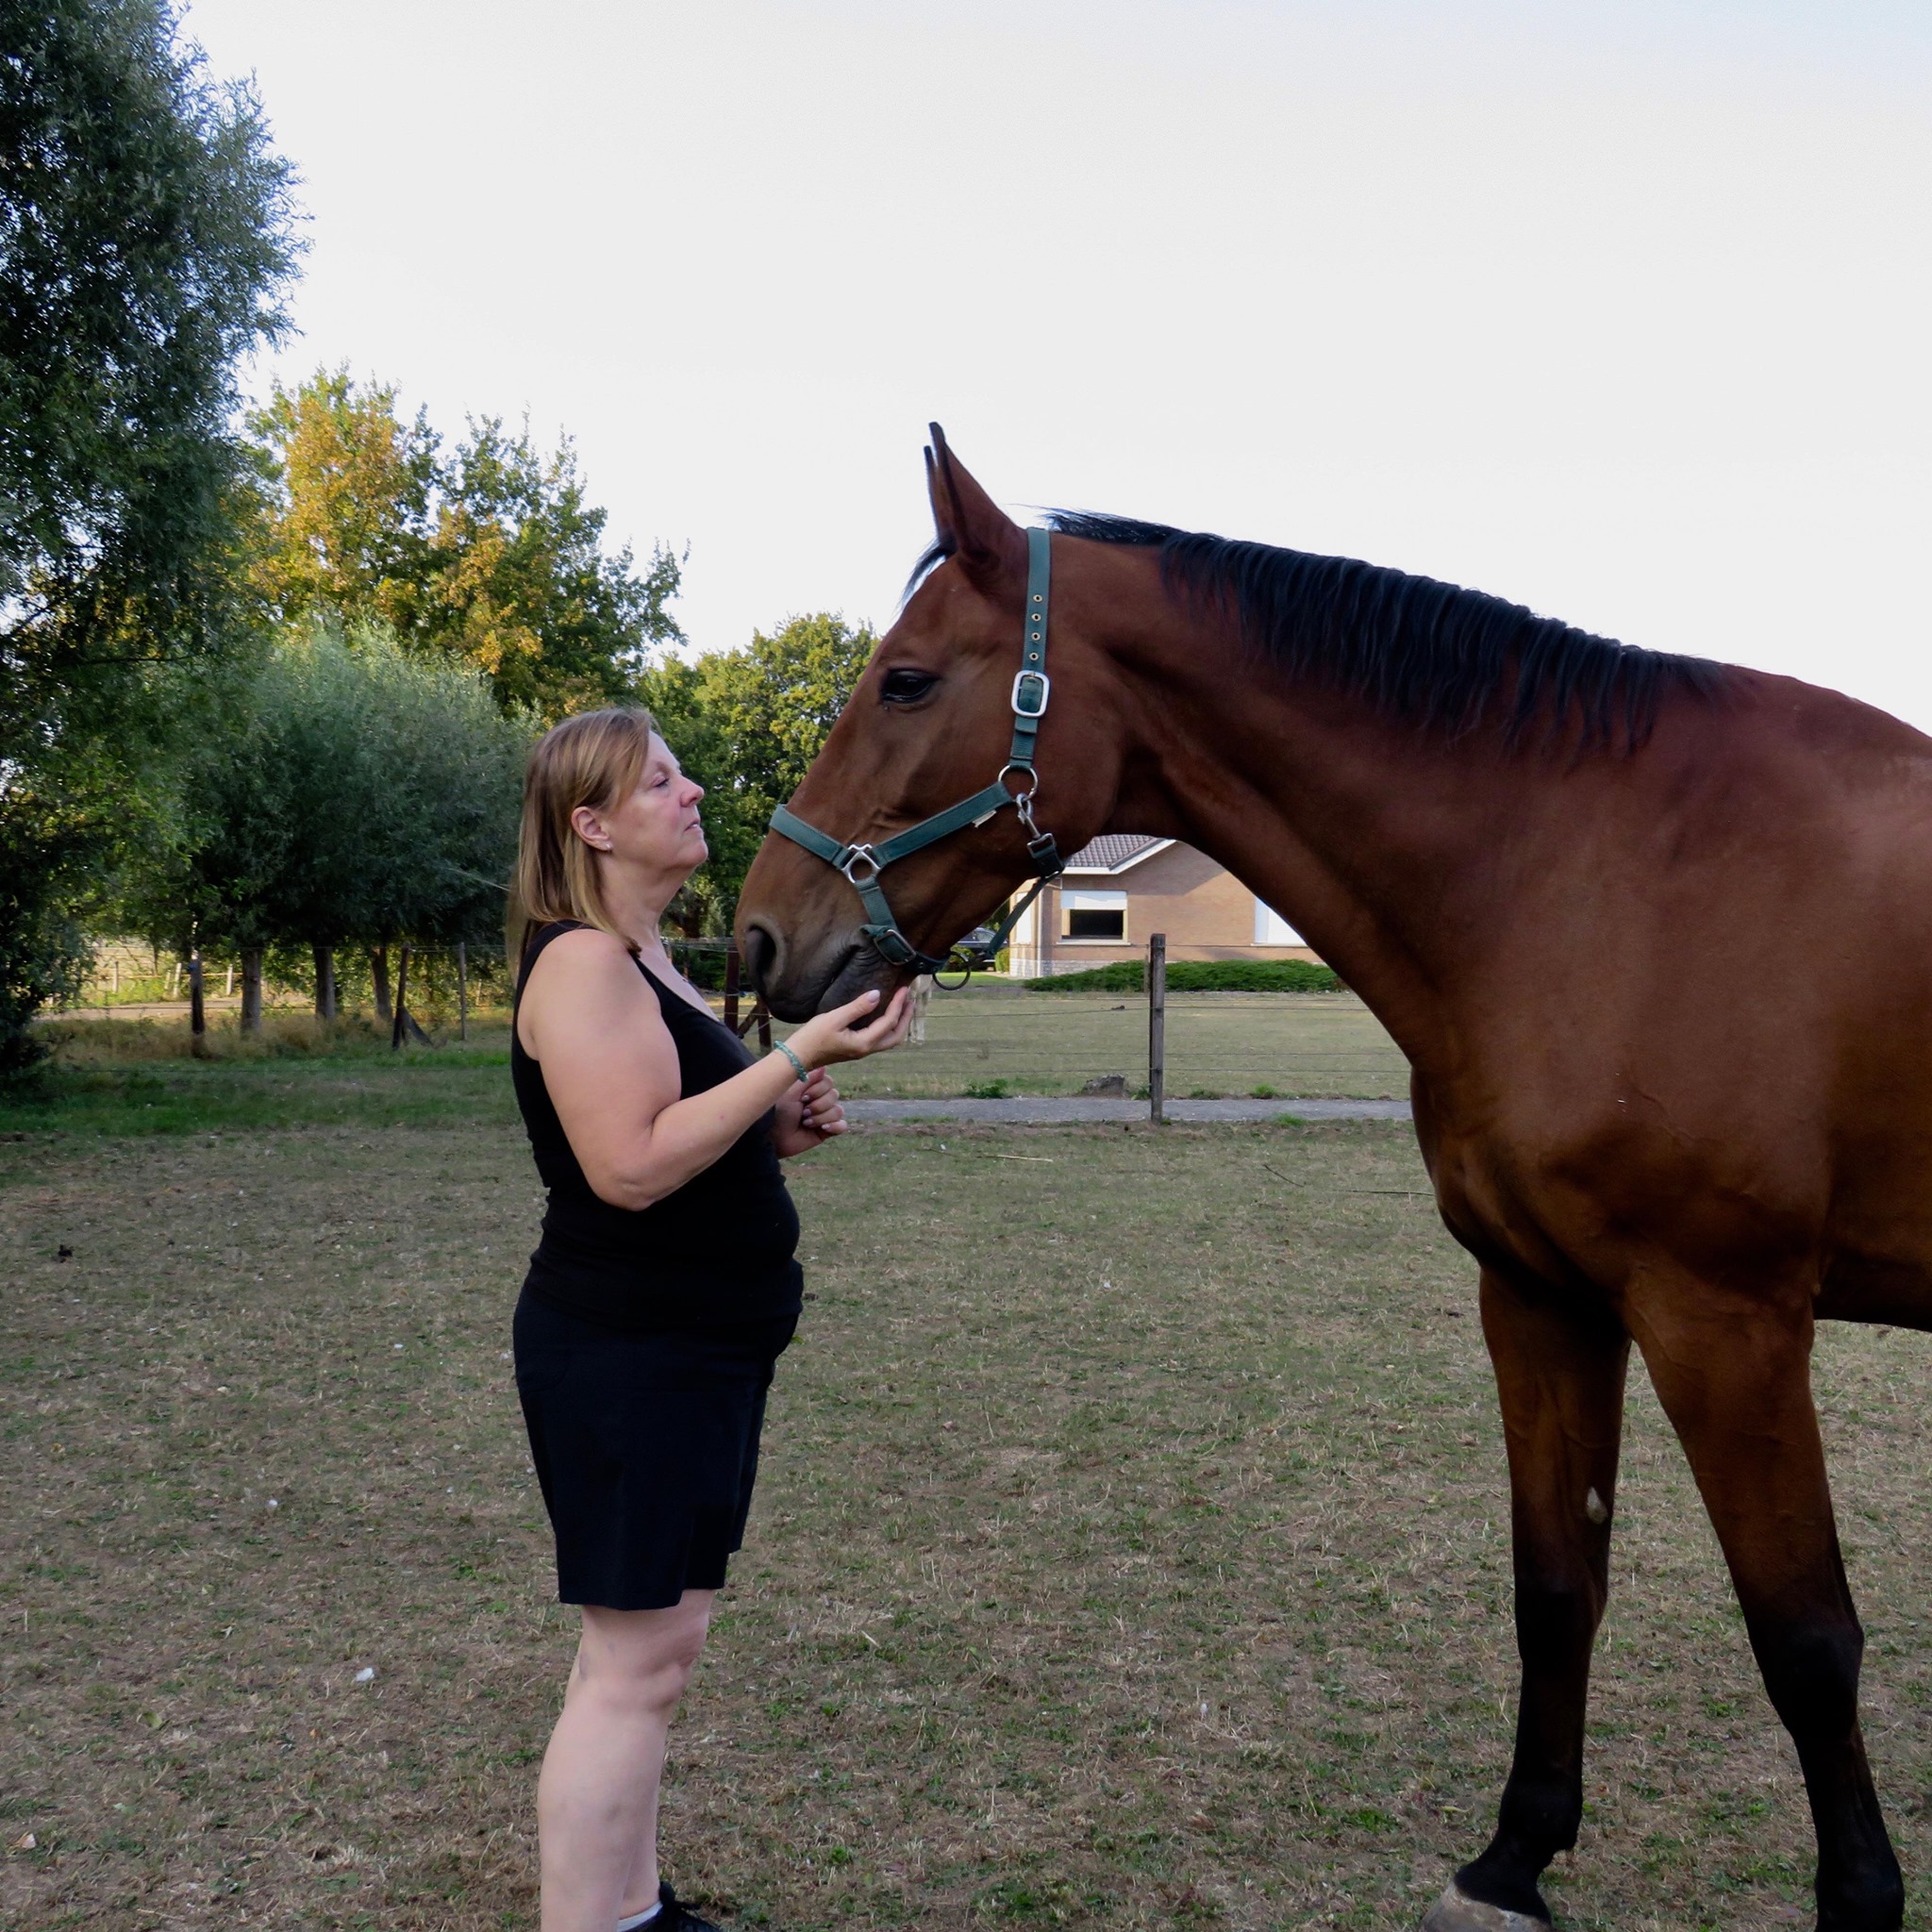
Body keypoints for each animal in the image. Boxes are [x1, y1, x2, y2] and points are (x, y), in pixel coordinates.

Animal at [734, 427, 1932, 1932]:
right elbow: (1557, 1584)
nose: (757, 936)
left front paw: (1861, 1897)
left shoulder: (1730, 1324)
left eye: (903, 678)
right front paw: (1513, 1858)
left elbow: (1807, 1637)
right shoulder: (1540, 1298)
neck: (1602, 876)